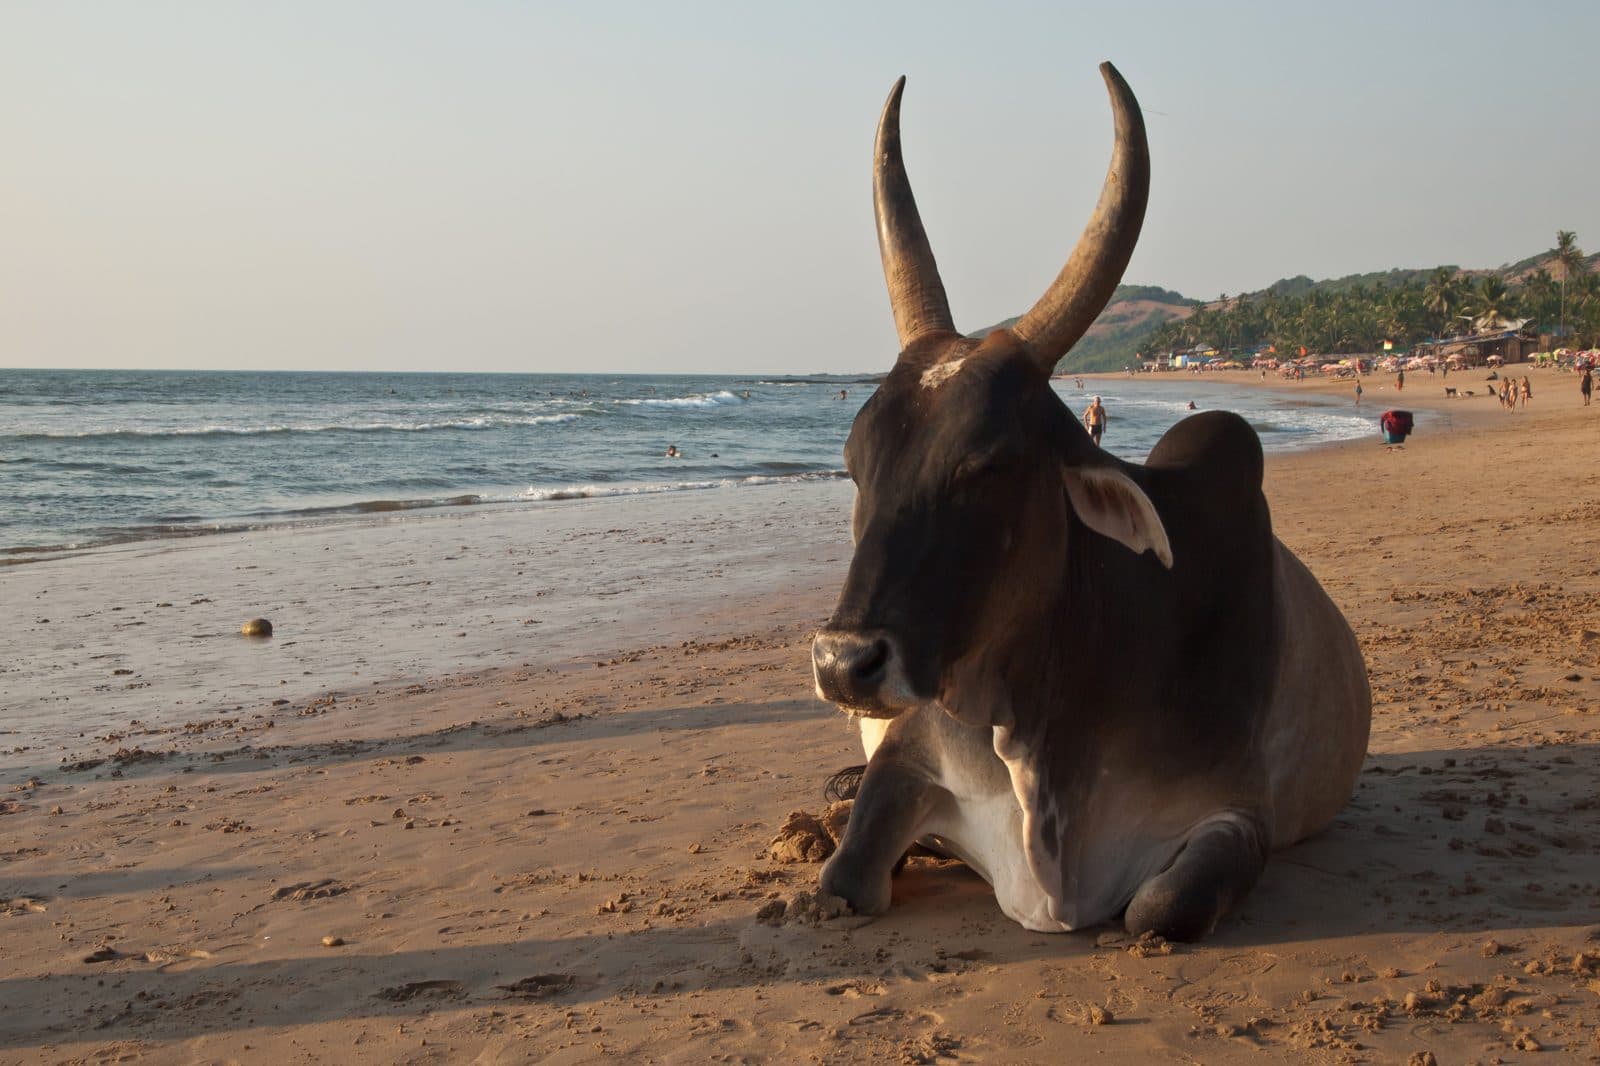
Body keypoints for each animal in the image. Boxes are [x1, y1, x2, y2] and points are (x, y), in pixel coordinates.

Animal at [809, 63, 1372, 941]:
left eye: (990, 465)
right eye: (856, 463)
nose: (844, 663)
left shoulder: (1236, 812)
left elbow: (1161, 909)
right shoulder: (910, 751)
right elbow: (843, 876)